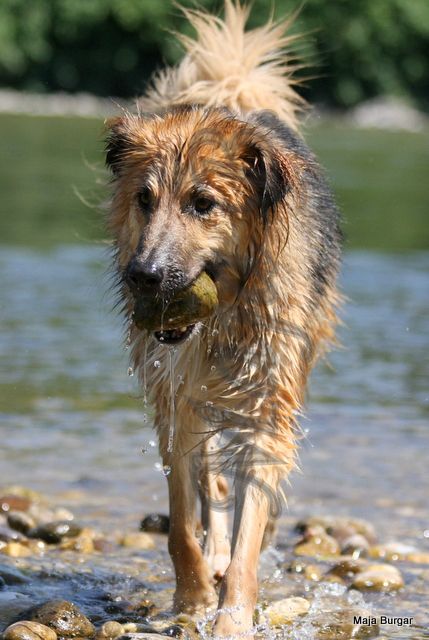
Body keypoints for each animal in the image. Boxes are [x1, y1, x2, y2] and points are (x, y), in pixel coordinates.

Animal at [104, 3, 342, 636]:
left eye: (203, 203)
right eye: (144, 198)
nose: (143, 276)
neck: (225, 317)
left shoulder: (268, 406)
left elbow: (248, 534)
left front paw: (232, 616)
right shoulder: (173, 393)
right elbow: (183, 517)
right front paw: (191, 601)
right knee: (209, 481)